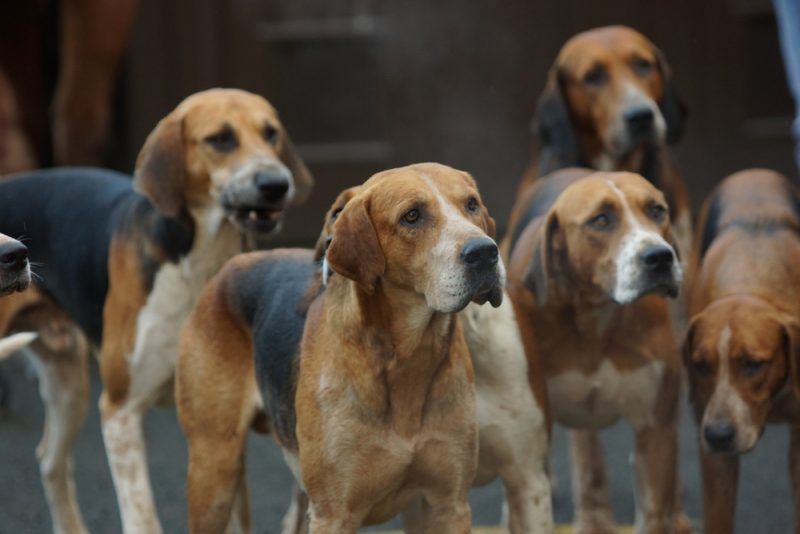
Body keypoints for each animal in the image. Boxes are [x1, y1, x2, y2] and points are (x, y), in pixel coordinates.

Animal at [0, 89, 312, 534]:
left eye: (271, 134)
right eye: (220, 139)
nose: (276, 184)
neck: (197, 262)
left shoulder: (222, 432)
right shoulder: (121, 412)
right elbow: (143, 516)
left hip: (68, 381)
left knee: (50, 461)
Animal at [684, 170, 800, 532]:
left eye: (753, 363)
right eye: (701, 365)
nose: (718, 435)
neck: (749, 282)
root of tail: (752, 173)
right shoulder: (713, 455)